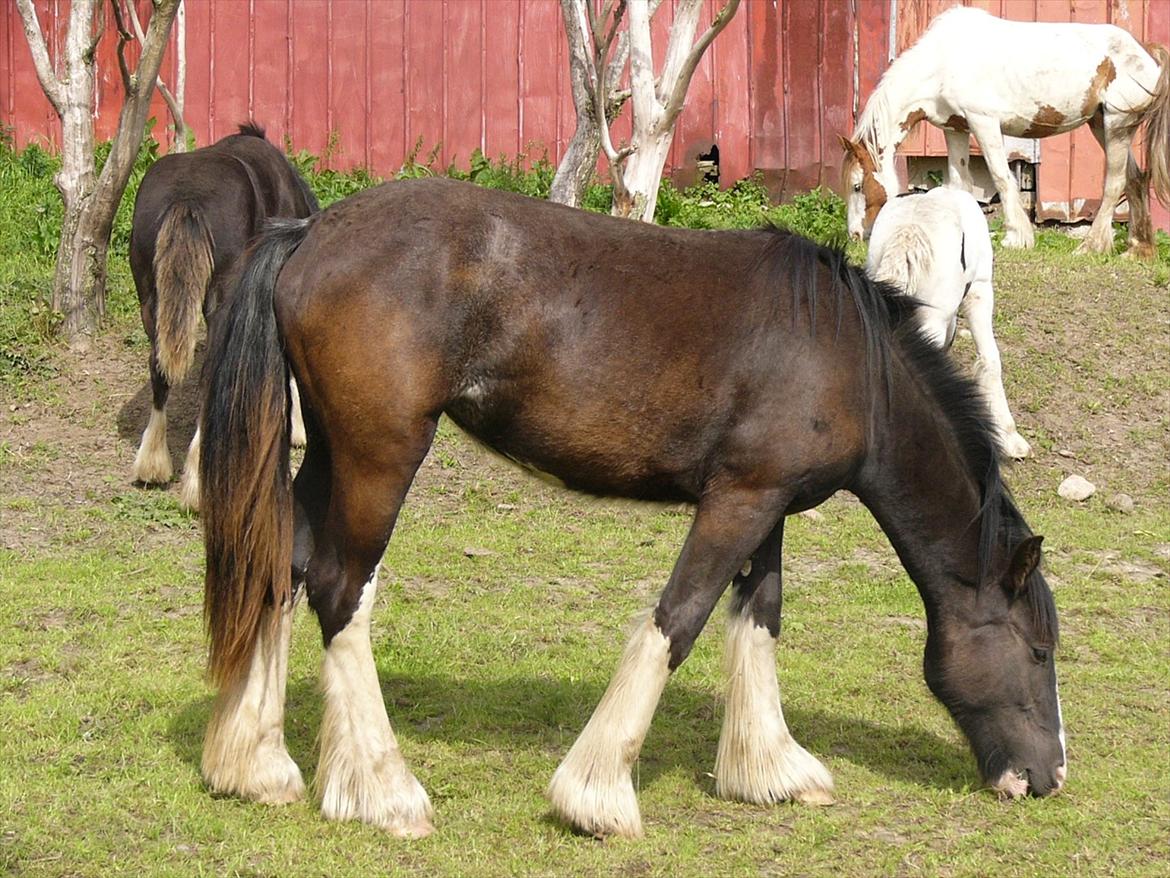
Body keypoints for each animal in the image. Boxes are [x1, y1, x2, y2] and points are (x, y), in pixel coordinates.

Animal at [129, 124, 315, 508]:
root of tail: (187, 198)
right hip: (218, 301)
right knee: (208, 375)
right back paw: (198, 481)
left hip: (150, 299)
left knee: (158, 369)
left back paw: (153, 463)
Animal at [198, 176, 1062, 838]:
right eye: (1038, 650)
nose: (1047, 775)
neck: (848, 359)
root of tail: (310, 233)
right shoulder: (735, 503)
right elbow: (677, 620)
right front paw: (597, 796)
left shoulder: (766, 504)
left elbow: (758, 617)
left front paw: (770, 771)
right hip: (380, 457)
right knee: (341, 590)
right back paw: (384, 793)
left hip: (330, 454)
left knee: (284, 566)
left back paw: (257, 765)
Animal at [842, 10, 1170, 257]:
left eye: (857, 186)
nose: (855, 235)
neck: (943, 61)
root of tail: (1146, 52)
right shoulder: (956, 129)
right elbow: (960, 184)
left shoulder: (984, 122)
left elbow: (1001, 176)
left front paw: (1016, 237)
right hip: (1103, 125)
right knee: (1135, 178)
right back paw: (1137, 249)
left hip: (1117, 125)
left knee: (1114, 184)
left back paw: (1091, 246)